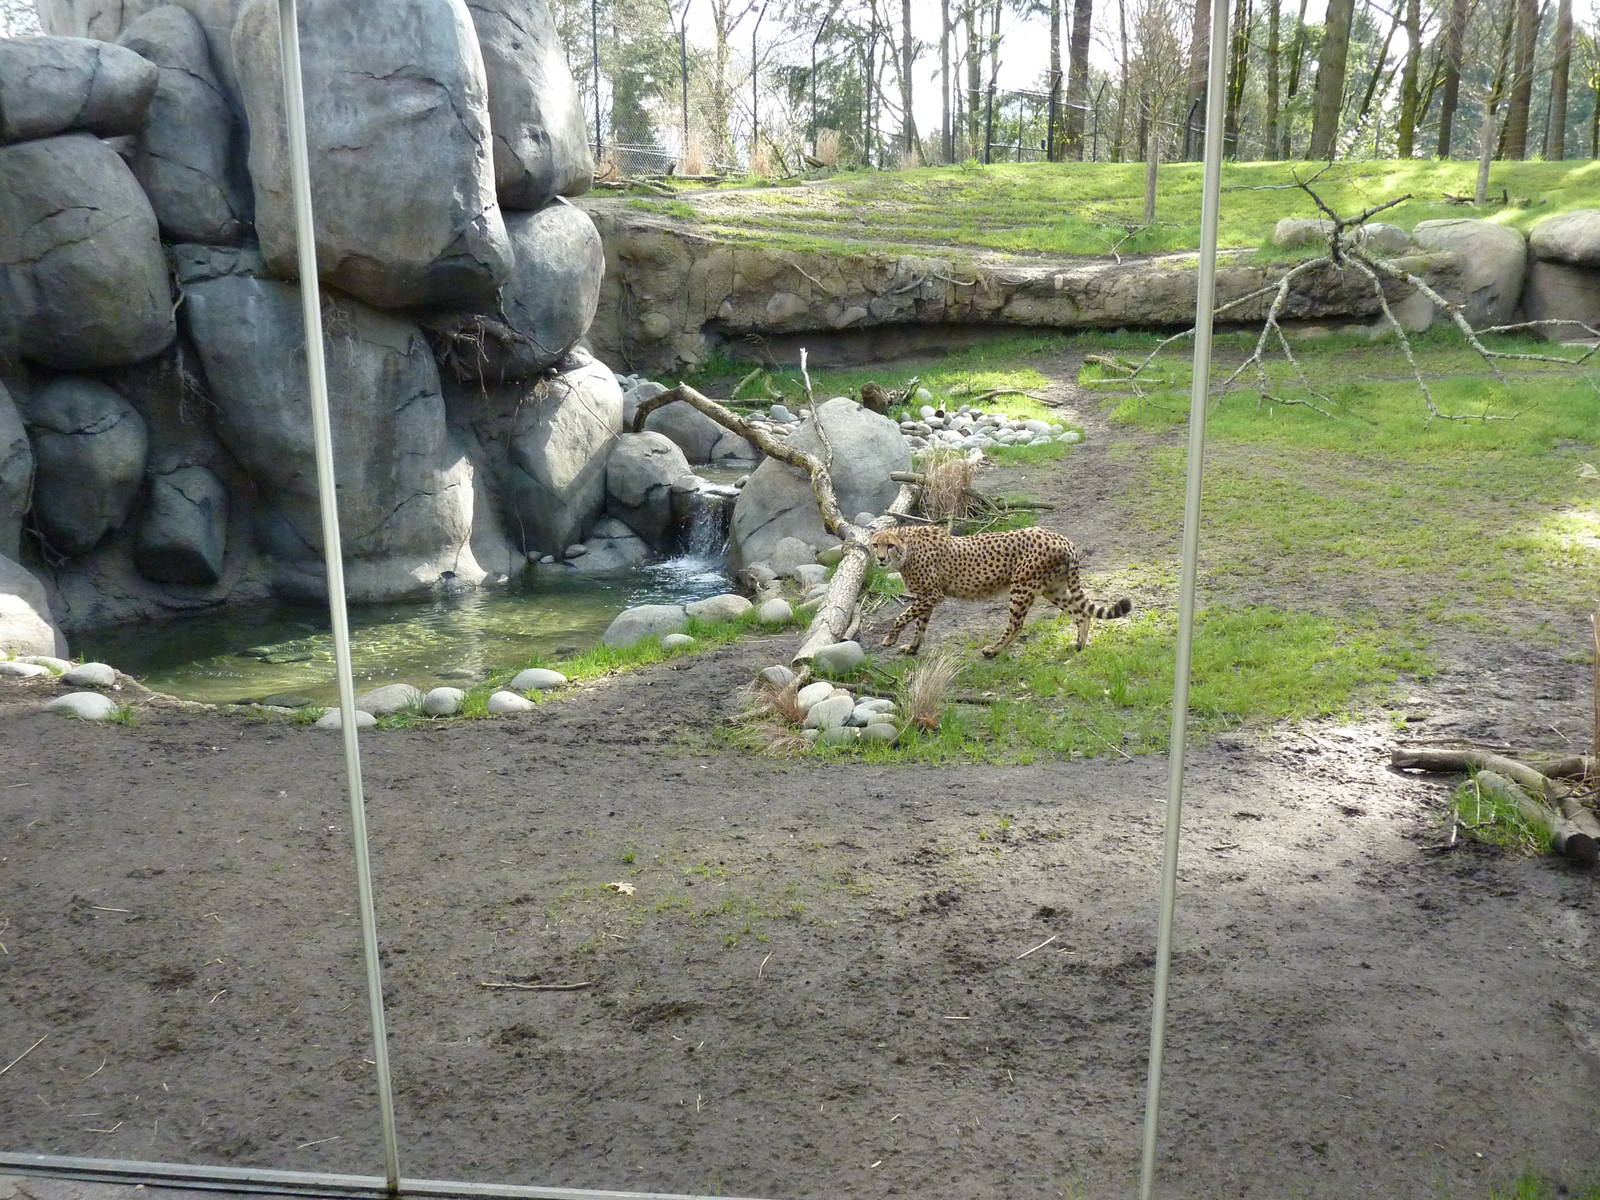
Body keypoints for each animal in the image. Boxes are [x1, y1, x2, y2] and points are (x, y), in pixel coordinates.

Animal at [869, 523, 1133, 658]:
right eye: (874, 545)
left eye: (889, 545)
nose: (880, 559)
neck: (907, 550)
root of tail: (1061, 537)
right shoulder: (927, 596)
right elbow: (919, 625)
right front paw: (912, 647)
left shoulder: (933, 594)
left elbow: (901, 617)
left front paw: (890, 639)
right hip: (1052, 588)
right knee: (1081, 613)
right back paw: (1078, 645)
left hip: (1021, 586)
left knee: (1016, 625)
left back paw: (994, 649)